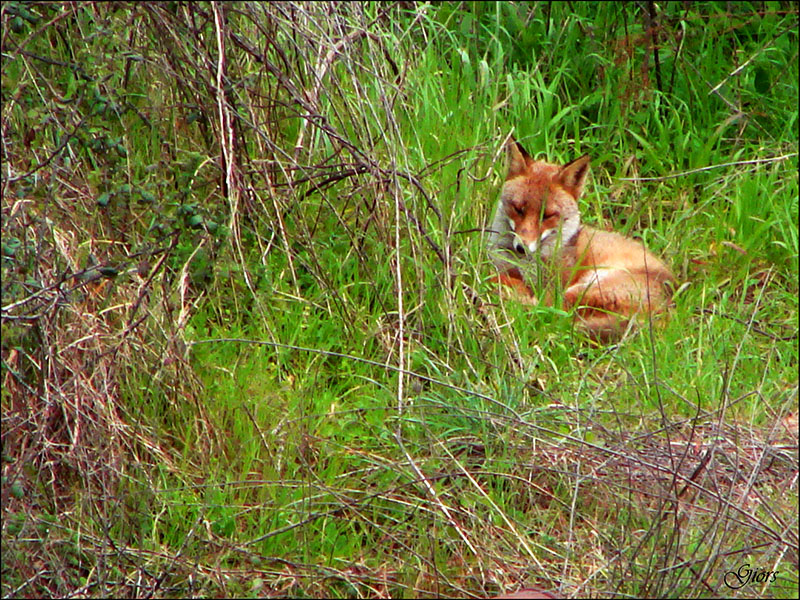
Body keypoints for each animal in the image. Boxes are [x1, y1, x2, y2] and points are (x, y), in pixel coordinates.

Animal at [488, 138, 676, 340]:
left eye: (547, 216)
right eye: (518, 209)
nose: (522, 247)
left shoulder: (550, 286)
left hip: (583, 288)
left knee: (551, 313)